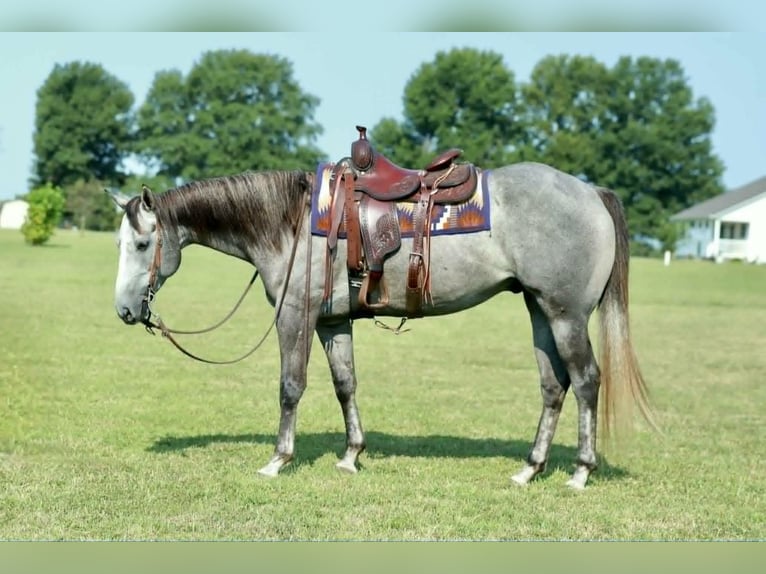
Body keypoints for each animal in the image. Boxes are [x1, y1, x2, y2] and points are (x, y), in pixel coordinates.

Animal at [109, 162, 655, 490]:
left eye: (141, 244)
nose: (125, 311)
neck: (289, 223)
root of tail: (591, 192)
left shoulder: (295, 316)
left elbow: (290, 386)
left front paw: (278, 459)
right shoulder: (332, 322)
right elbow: (345, 384)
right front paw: (351, 455)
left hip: (566, 315)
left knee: (586, 382)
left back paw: (580, 472)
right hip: (541, 311)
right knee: (553, 386)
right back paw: (529, 468)